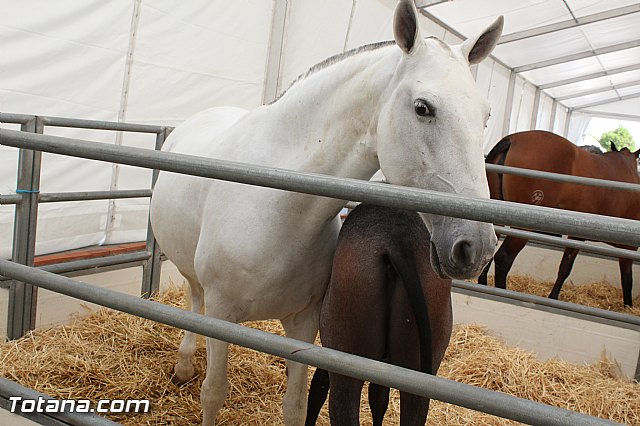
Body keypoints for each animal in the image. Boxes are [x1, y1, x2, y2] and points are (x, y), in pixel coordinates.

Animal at [478, 130, 640, 307]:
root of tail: (512, 140)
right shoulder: (627, 248)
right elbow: (627, 279)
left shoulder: (577, 236)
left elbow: (564, 267)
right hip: (522, 228)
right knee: (504, 258)